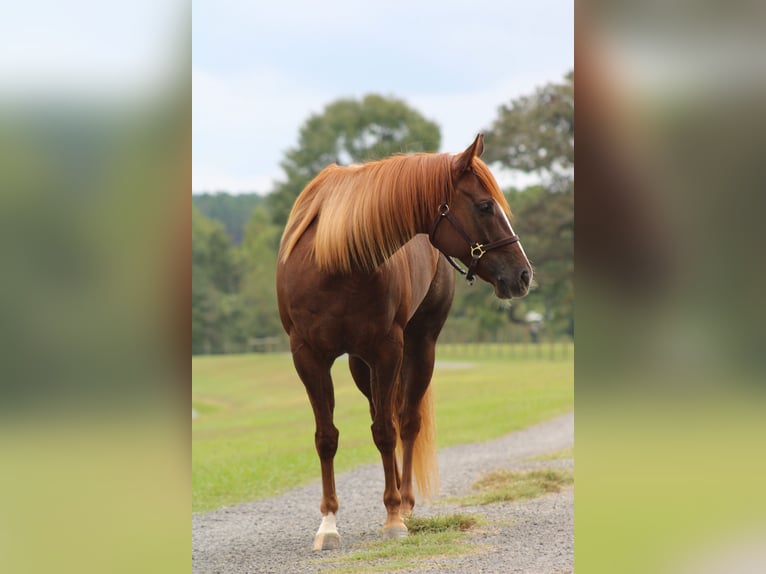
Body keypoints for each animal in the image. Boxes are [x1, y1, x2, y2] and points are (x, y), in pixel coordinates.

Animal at [276, 133, 536, 552]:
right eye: (484, 205)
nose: (524, 274)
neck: (333, 262)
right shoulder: (309, 357)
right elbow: (327, 436)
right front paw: (328, 523)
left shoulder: (388, 351)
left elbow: (386, 431)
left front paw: (394, 517)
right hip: (359, 365)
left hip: (420, 347)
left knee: (407, 421)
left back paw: (406, 501)